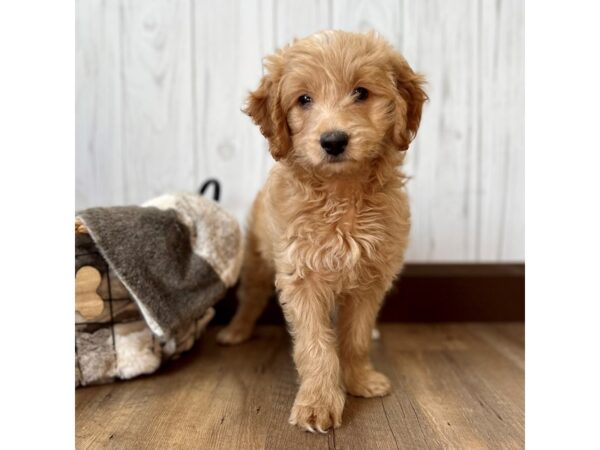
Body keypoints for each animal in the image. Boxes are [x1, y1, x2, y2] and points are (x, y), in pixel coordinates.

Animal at [218, 30, 428, 432]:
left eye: (361, 92)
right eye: (304, 99)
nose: (333, 141)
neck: (341, 193)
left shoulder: (370, 278)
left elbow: (355, 337)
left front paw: (360, 380)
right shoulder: (302, 276)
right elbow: (315, 346)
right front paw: (317, 404)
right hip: (257, 259)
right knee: (251, 297)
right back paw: (235, 331)